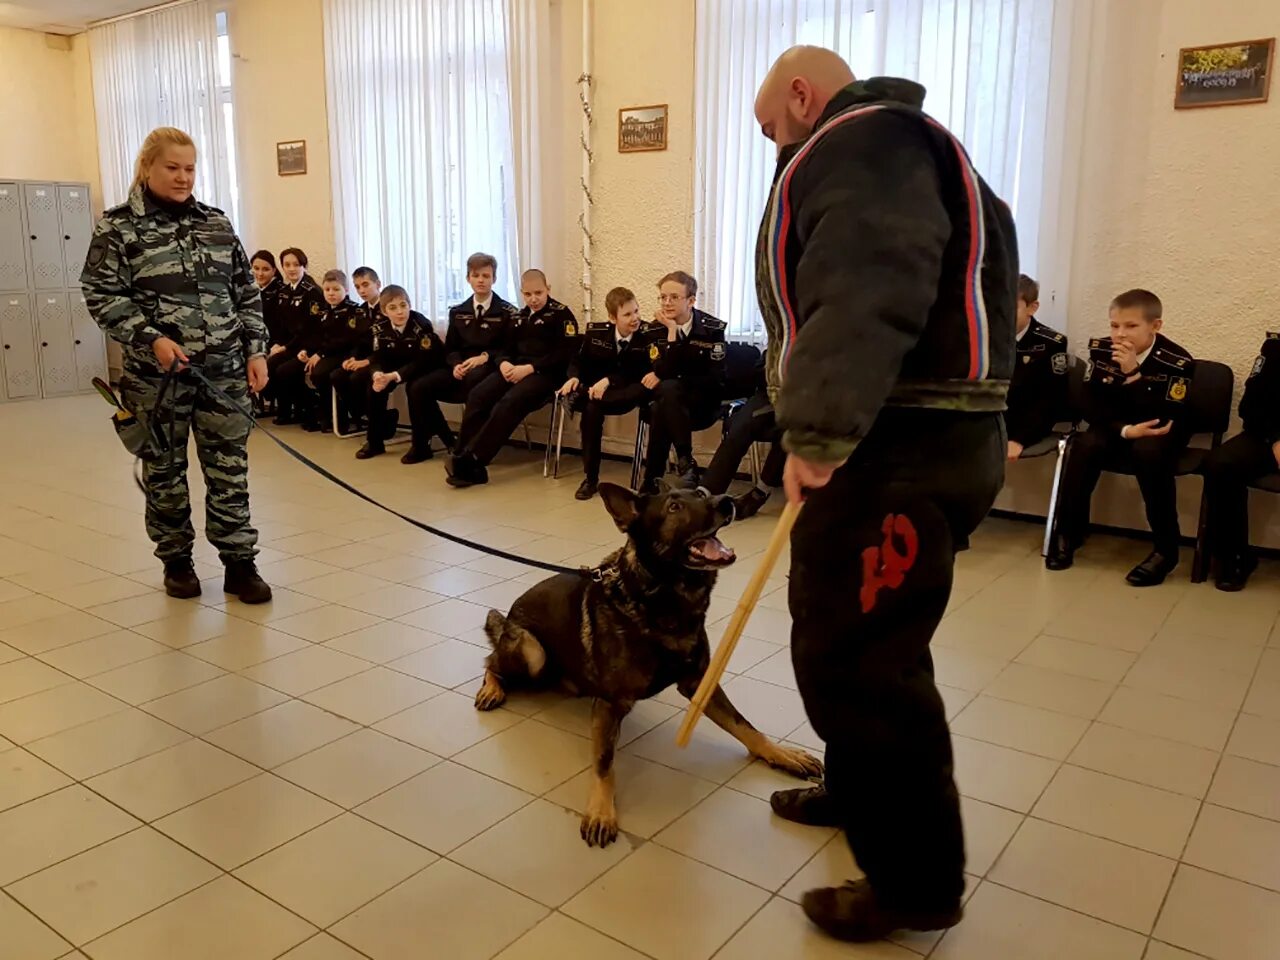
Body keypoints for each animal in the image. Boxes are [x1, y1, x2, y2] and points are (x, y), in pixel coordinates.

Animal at [476, 483, 824, 844]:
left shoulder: (699, 684)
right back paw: (491, 688)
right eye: (673, 507)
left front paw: (781, 754)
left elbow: (744, 726)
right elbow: (604, 762)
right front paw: (601, 810)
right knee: (490, 661)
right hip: (534, 653)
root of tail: (511, 614)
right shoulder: (610, 705)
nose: (727, 501)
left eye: (702, 493)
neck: (663, 599)